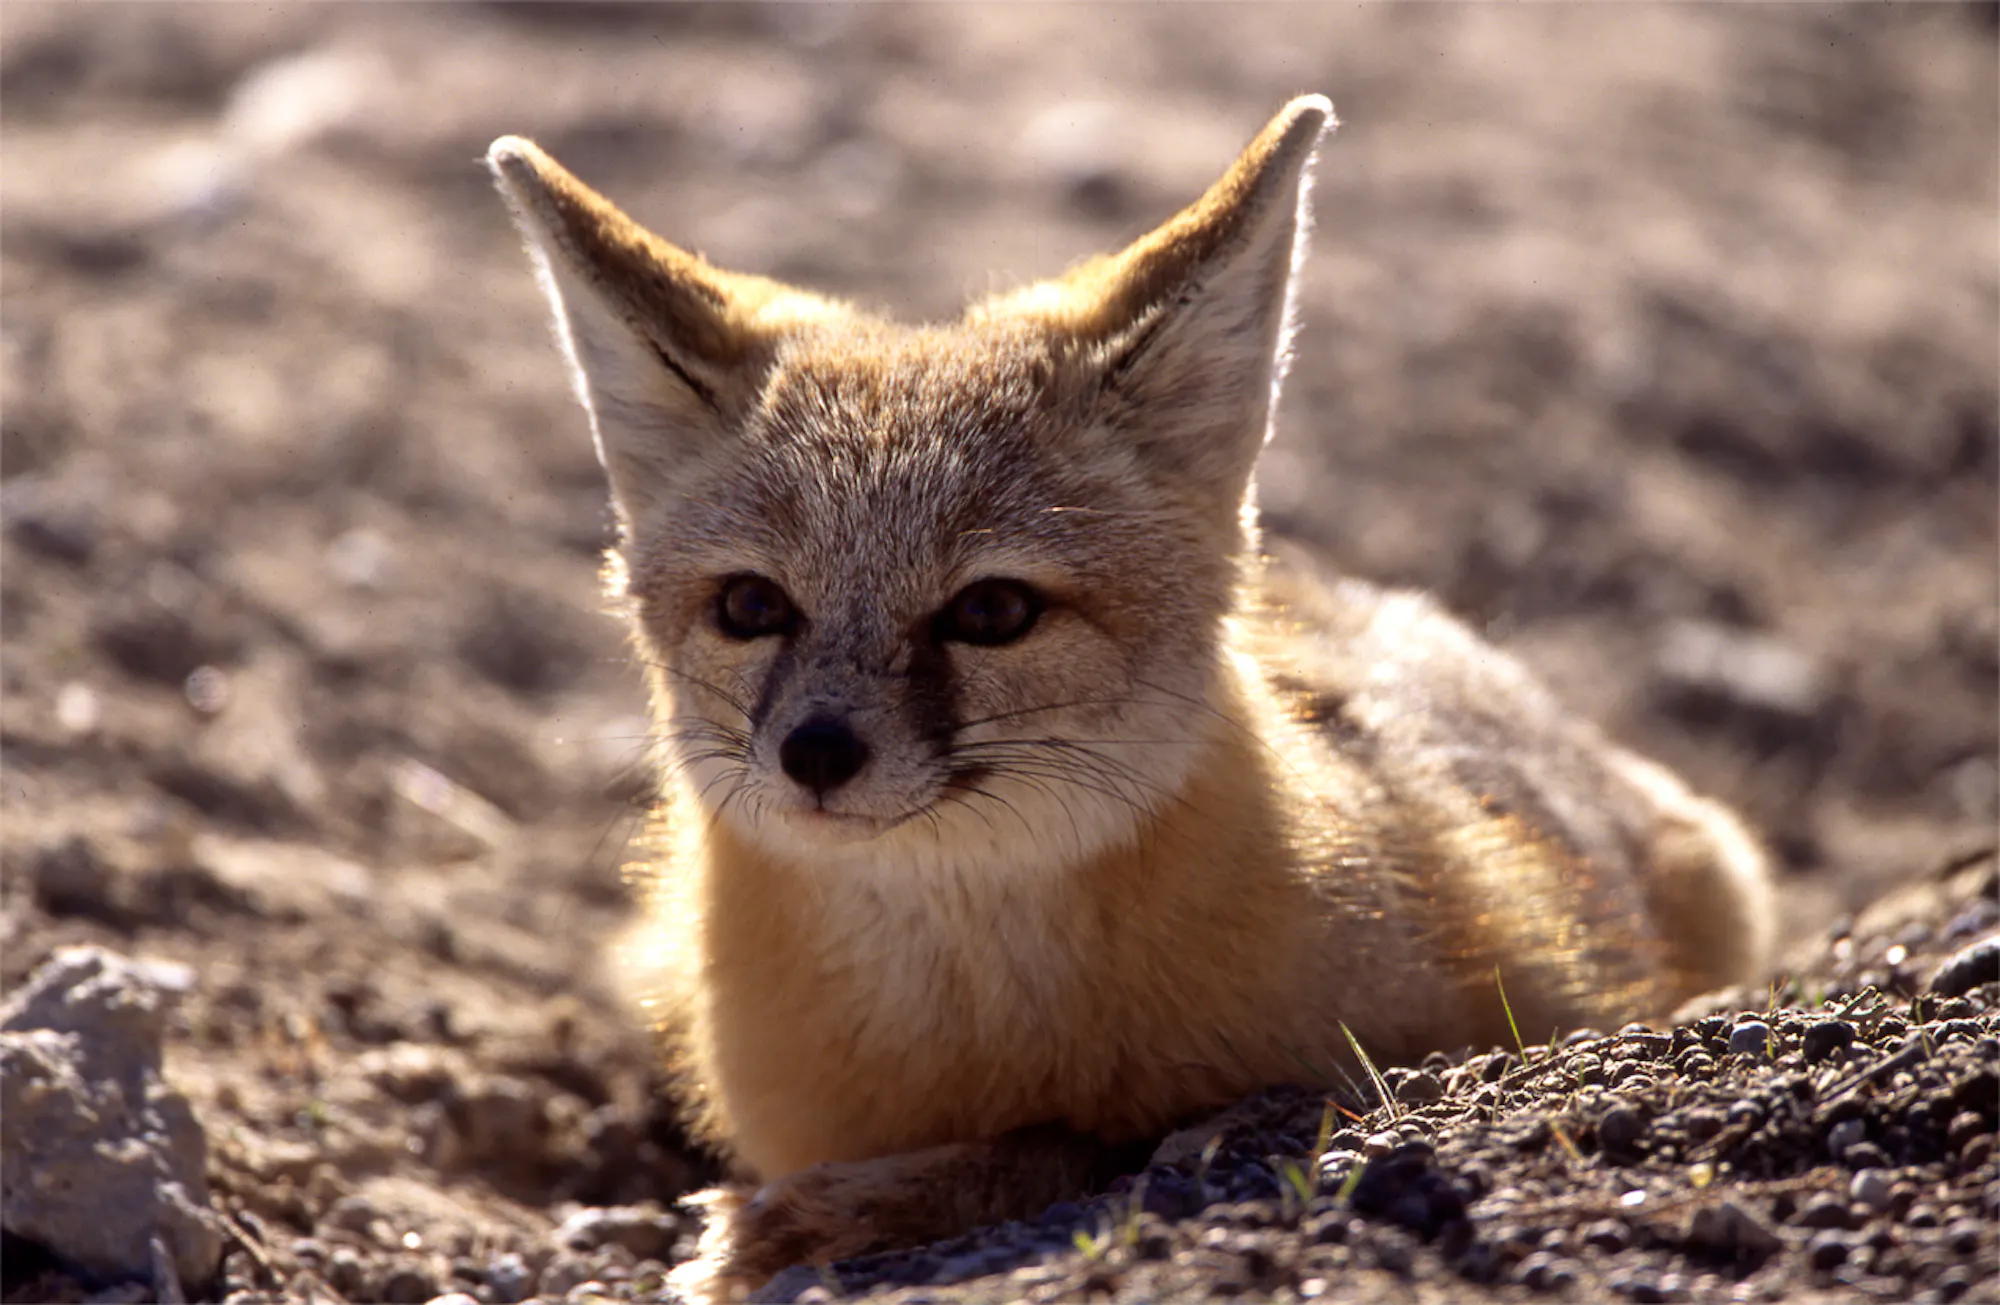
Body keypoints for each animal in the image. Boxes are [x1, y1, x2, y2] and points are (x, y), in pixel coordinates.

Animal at [486, 95, 1775, 1297]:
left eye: (991, 613)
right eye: (753, 606)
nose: (813, 753)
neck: (955, 1026)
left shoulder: (1356, 1073)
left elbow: (1084, 1139)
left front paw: (832, 1212)